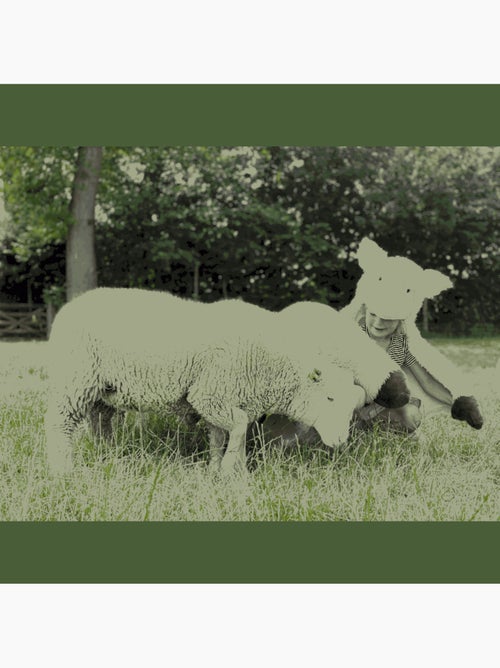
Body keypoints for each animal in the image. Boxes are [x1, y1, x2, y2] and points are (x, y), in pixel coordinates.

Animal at [44, 288, 366, 475]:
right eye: (329, 398)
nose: (340, 441)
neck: (270, 363)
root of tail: (69, 306)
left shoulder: (223, 400)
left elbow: (219, 437)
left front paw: (217, 468)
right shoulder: (209, 395)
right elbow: (238, 430)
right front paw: (232, 471)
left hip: (104, 388)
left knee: (100, 421)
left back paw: (108, 455)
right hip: (75, 377)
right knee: (60, 423)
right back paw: (63, 470)